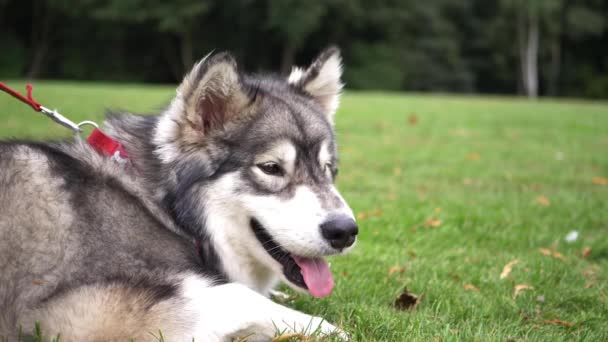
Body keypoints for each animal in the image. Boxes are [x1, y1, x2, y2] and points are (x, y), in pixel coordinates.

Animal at [0, 48, 356, 342]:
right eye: (271, 168)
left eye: (328, 168)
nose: (345, 231)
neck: (164, 209)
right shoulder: (73, 313)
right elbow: (238, 293)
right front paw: (329, 330)